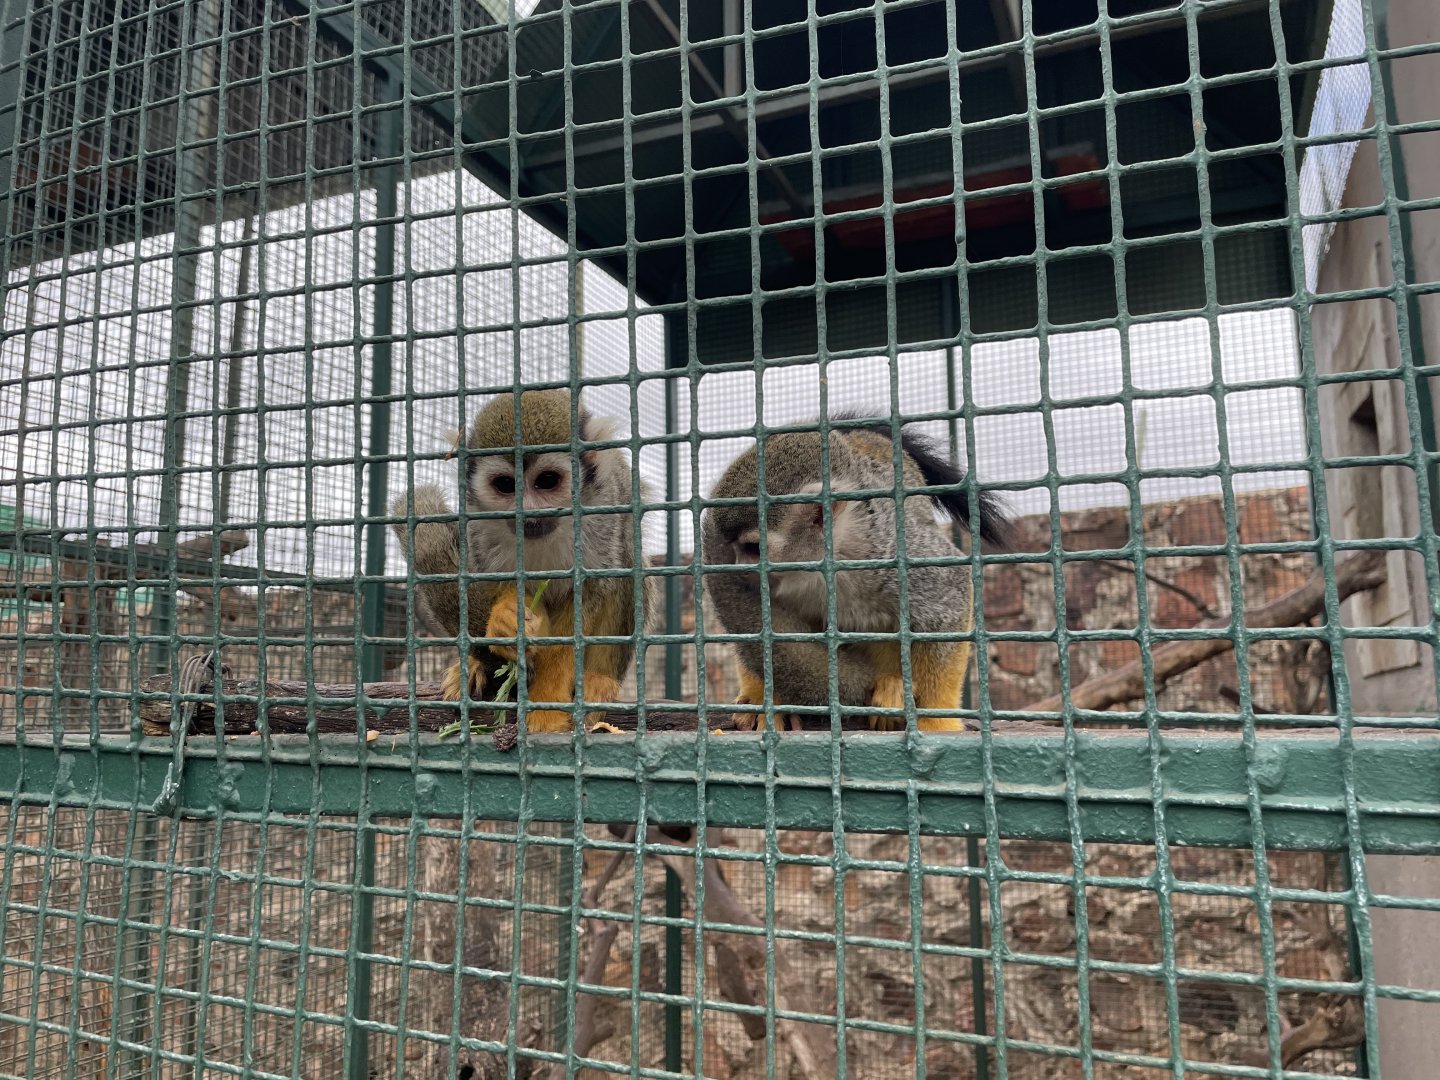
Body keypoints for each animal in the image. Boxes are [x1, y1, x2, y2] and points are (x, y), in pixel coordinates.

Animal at [390, 388, 655, 733]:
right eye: (506, 485)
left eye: (547, 481)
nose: (529, 514)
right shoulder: (476, 519)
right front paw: (508, 621)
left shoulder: (603, 509)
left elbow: (590, 591)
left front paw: (547, 706)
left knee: (626, 560)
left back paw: (598, 680)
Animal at [700, 419, 1008, 732]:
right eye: (736, 550)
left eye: (753, 548)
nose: (738, 567)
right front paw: (766, 698)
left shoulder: (887, 549)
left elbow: (951, 594)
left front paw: (936, 720)